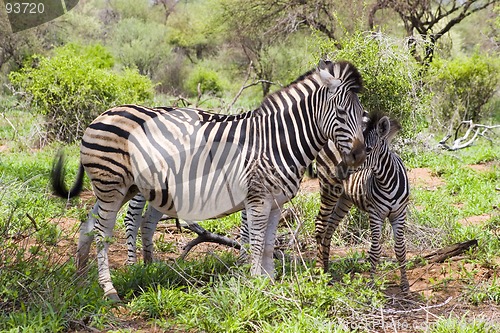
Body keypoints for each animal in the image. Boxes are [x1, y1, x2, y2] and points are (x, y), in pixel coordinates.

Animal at [50, 59, 368, 298]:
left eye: (363, 112)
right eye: (341, 112)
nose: (359, 154)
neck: (275, 141)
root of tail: (101, 115)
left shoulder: (275, 203)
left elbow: (267, 245)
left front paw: (268, 285)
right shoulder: (257, 199)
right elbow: (254, 244)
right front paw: (255, 286)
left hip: (118, 189)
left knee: (89, 224)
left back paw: (82, 279)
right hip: (113, 185)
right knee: (104, 231)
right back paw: (110, 290)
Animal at [316, 111, 410, 290]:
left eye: (368, 149)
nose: (338, 171)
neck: (386, 182)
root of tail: (330, 139)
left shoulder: (399, 214)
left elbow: (401, 248)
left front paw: (405, 286)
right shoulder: (375, 214)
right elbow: (375, 250)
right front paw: (371, 285)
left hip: (344, 200)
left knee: (329, 229)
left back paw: (326, 271)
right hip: (328, 190)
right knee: (320, 225)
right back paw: (319, 273)